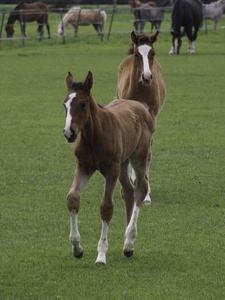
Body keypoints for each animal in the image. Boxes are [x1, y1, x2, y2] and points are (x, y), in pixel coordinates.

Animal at [63, 71, 155, 264]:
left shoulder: (111, 170)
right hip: (123, 162)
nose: (69, 133)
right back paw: (127, 247)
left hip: (138, 157)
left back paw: (129, 243)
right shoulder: (83, 166)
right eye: (64, 104)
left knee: (141, 188)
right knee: (128, 190)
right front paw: (77, 248)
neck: (95, 135)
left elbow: (106, 208)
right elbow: (72, 198)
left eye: (83, 104)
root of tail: (139, 105)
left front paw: (101, 254)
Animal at [117, 30, 166, 204]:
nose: (146, 77)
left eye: (153, 53)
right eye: (137, 54)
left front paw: (146, 194)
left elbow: (148, 154)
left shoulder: (152, 117)